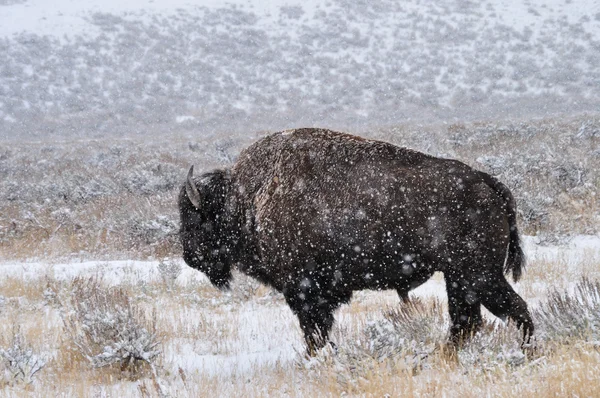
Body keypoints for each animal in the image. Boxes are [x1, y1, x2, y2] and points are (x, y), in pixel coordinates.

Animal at [179, 128, 536, 354]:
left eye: (194, 218)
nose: (188, 257)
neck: (247, 198)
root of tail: (486, 182)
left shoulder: (304, 292)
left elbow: (315, 332)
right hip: (459, 278)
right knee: (468, 321)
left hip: (478, 274)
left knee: (511, 310)